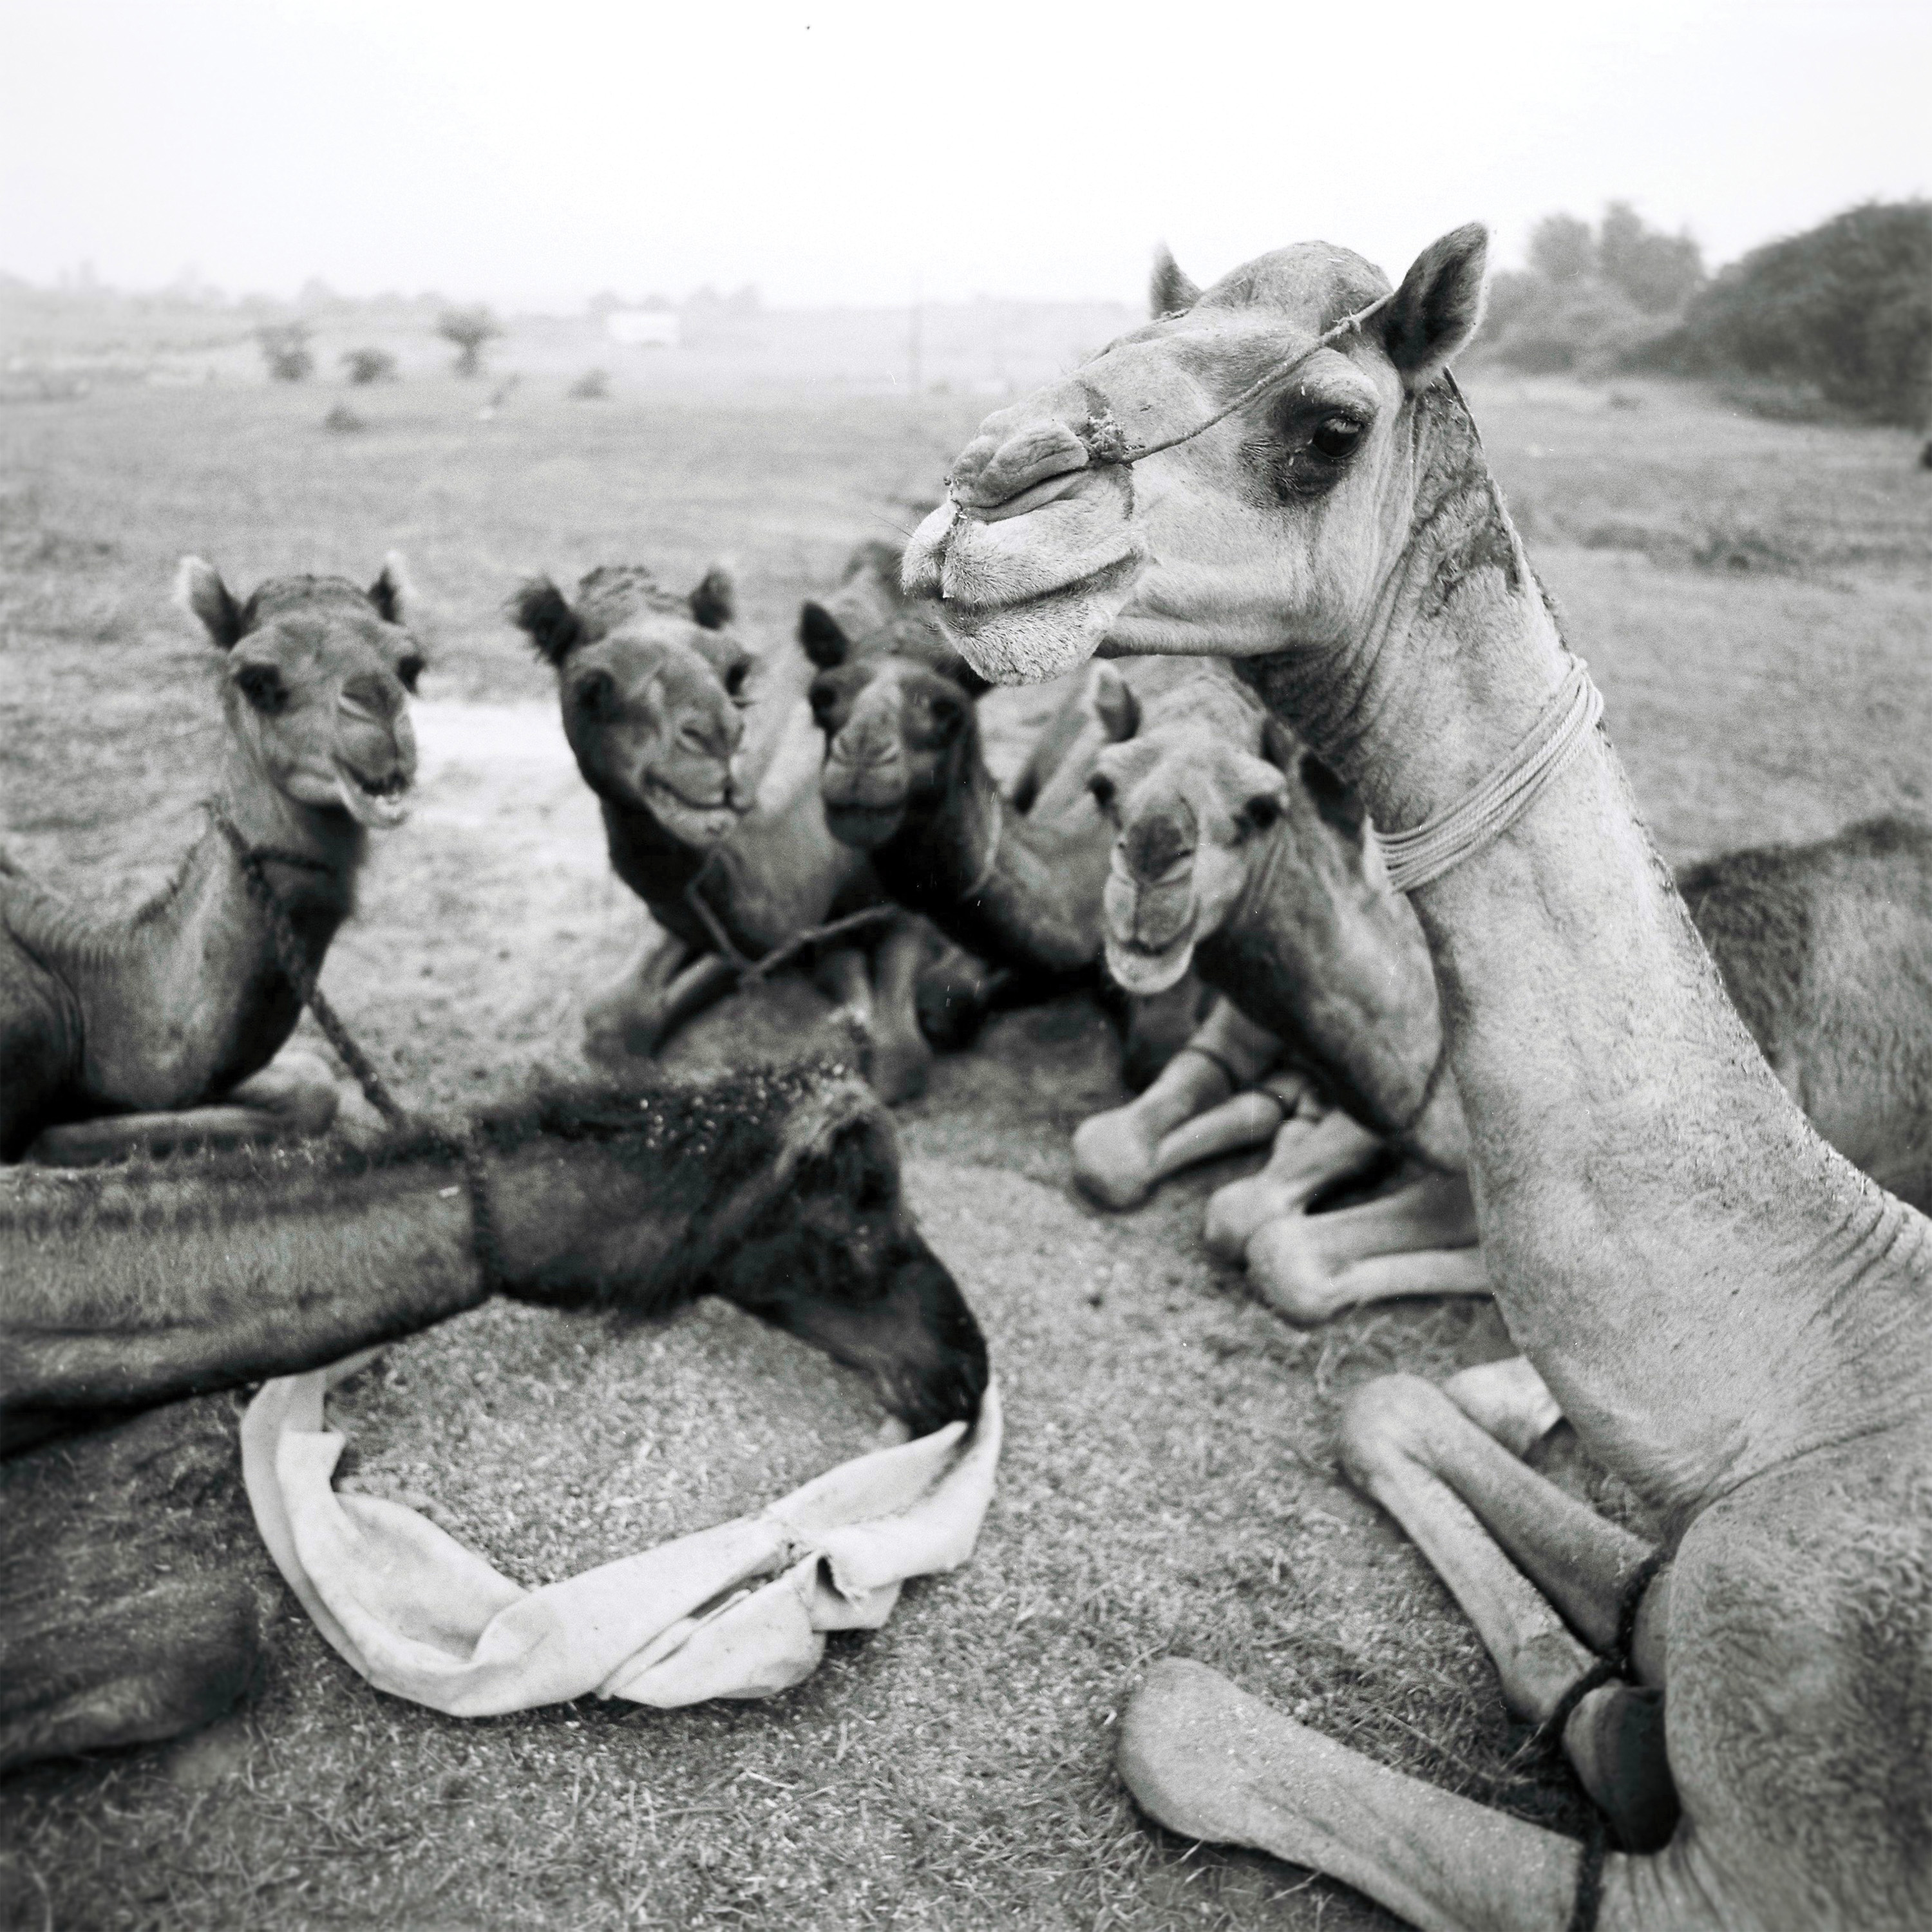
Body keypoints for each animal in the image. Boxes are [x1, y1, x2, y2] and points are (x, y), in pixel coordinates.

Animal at [904, 230, 1932, 1932]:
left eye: (1327, 426)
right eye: (1120, 337)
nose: (984, 497)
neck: (1852, 1374)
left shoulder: (1745, 1887)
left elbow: (1176, 1710)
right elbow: (1380, 1395)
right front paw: (1604, 1718)